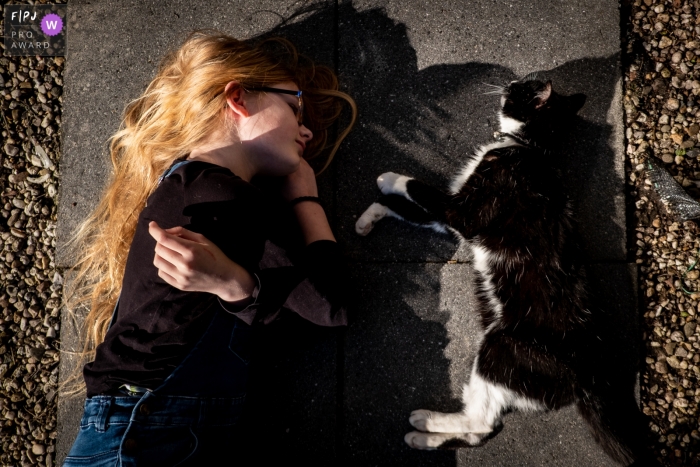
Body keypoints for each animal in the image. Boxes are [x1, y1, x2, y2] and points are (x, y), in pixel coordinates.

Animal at [358, 78, 652, 466]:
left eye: (525, 86)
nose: (510, 82)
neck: (523, 147)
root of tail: (589, 376)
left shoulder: (463, 215)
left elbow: (415, 186)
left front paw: (388, 177)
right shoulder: (450, 221)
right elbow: (406, 209)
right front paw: (368, 218)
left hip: (500, 347)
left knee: (481, 423)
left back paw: (423, 425)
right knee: (480, 429)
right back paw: (424, 436)